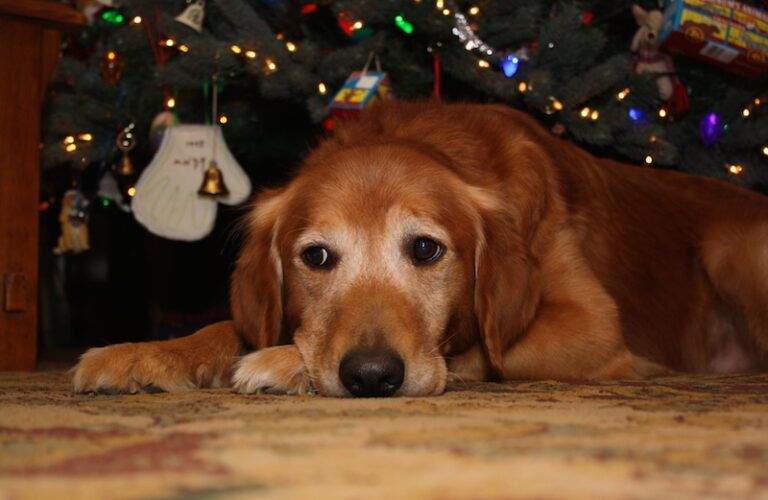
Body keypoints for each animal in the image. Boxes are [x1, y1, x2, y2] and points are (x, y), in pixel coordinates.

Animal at [73, 100, 768, 398]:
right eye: (317, 257)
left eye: (427, 250)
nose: (370, 376)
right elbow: (227, 327)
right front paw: (145, 354)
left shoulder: (591, 326)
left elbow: (477, 349)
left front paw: (281, 362)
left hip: (731, 252)